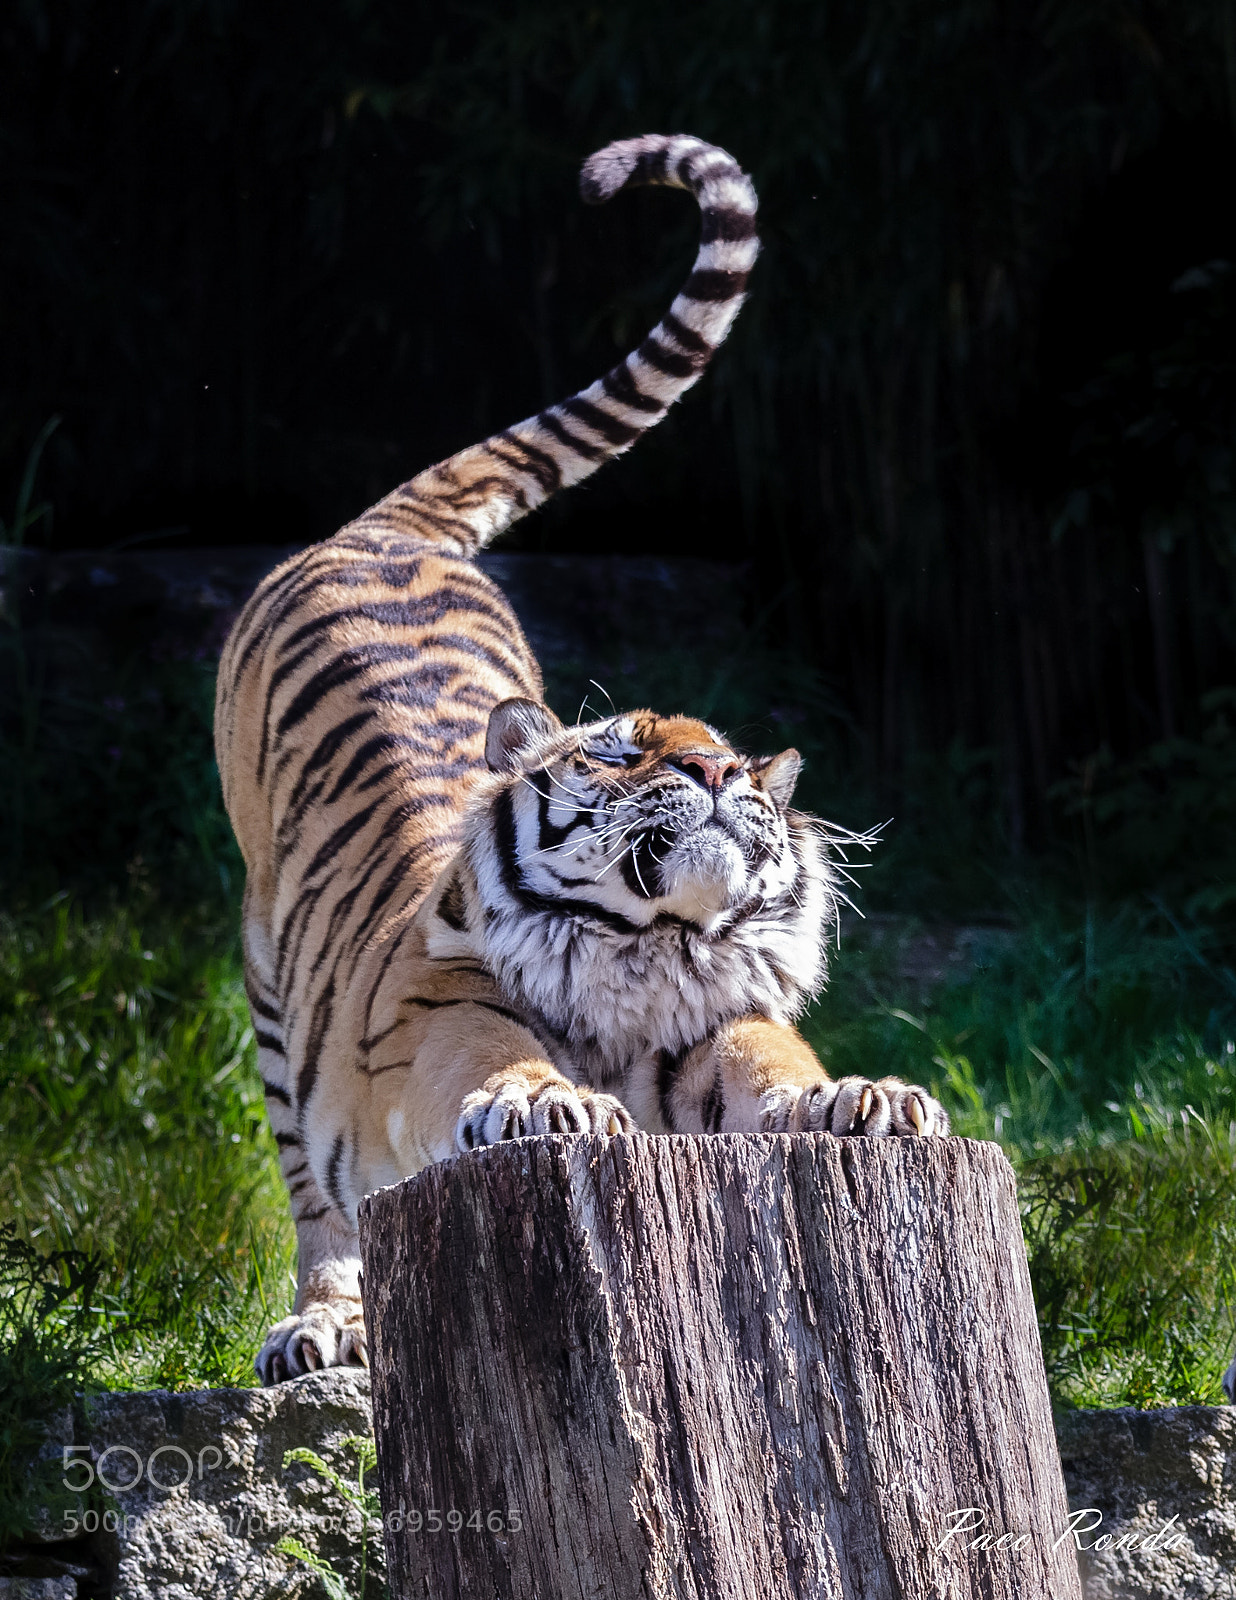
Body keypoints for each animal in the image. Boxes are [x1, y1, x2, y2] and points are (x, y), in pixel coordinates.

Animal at [214, 133, 950, 1386]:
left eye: (736, 760)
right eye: (620, 747)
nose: (716, 774)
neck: (646, 955)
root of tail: (383, 532)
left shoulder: (722, 1026)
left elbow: (781, 1072)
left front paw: (871, 1098)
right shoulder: (440, 1011)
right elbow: (495, 1063)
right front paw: (542, 1107)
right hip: (269, 989)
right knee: (317, 1203)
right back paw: (323, 1326)